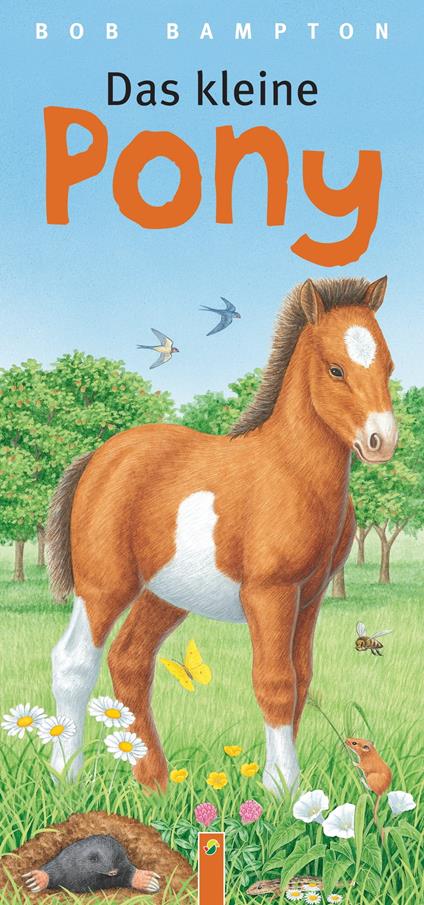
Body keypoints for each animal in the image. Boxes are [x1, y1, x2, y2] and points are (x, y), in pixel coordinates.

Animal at [47, 276, 397, 794]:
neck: (291, 471)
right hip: (104, 586)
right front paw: (282, 787)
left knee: (130, 661)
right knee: (74, 662)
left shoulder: (309, 597)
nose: (381, 442)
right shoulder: (269, 594)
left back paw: (156, 784)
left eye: (389, 366)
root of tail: (100, 456)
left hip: (164, 595)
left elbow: (301, 679)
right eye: (335, 369)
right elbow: (276, 683)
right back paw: (66, 775)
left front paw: (288, 791)